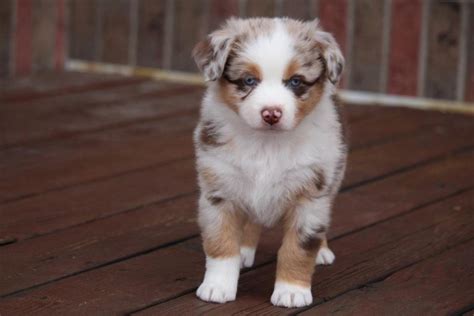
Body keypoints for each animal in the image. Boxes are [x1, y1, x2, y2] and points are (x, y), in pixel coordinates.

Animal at [191, 16, 346, 308]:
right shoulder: (219, 191)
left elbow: (298, 248)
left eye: (296, 82)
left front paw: (292, 291)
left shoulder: (310, 196)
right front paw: (217, 286)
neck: (267, 145)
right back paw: (244, 249)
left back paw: (322, 252)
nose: (271, 113)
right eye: (249, 80)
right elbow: (221, 243)